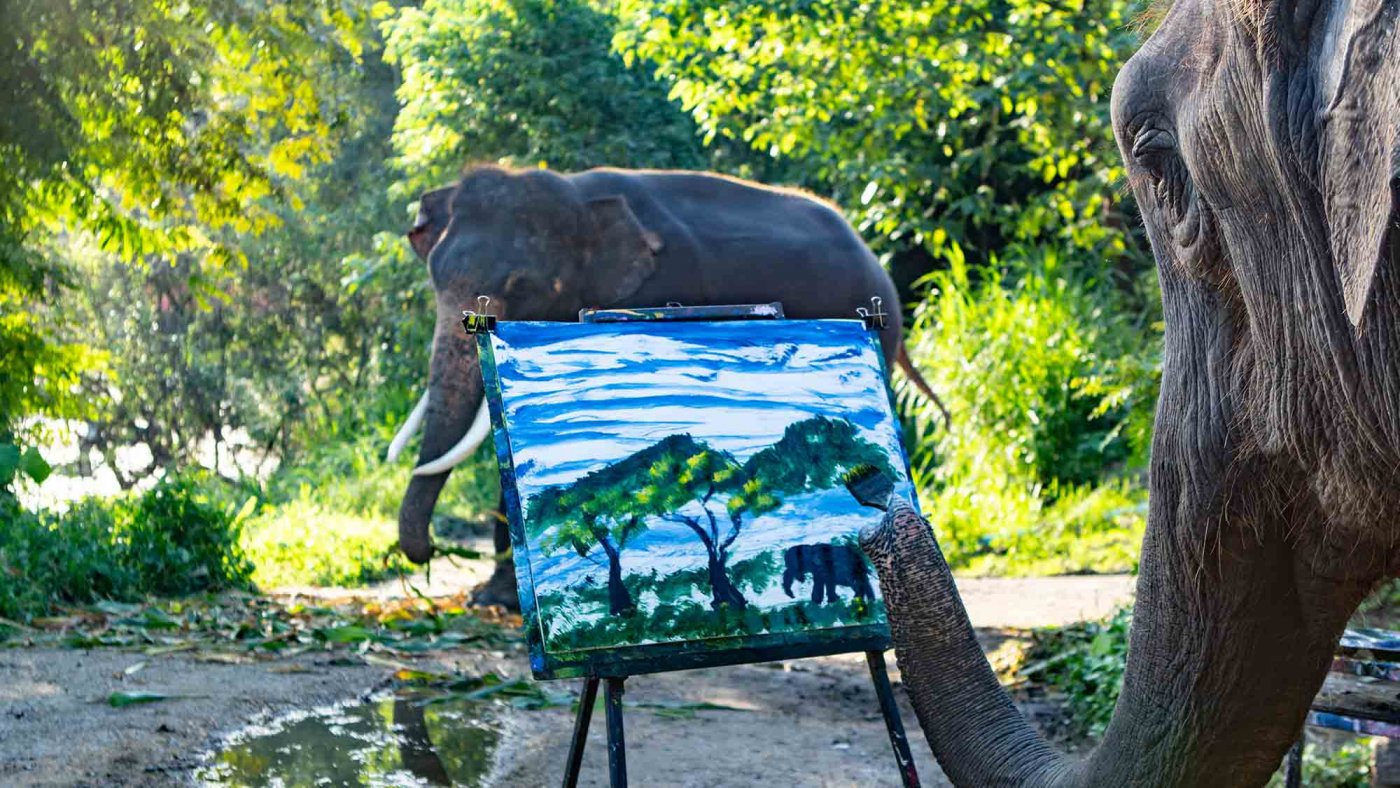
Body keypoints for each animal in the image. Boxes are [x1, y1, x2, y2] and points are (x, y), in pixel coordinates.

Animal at [387, 165, 948, 608]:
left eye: (521, 286)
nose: (433, 554)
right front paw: (494, 600)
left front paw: (497, 599)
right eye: (434, 276)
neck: (575, 196)